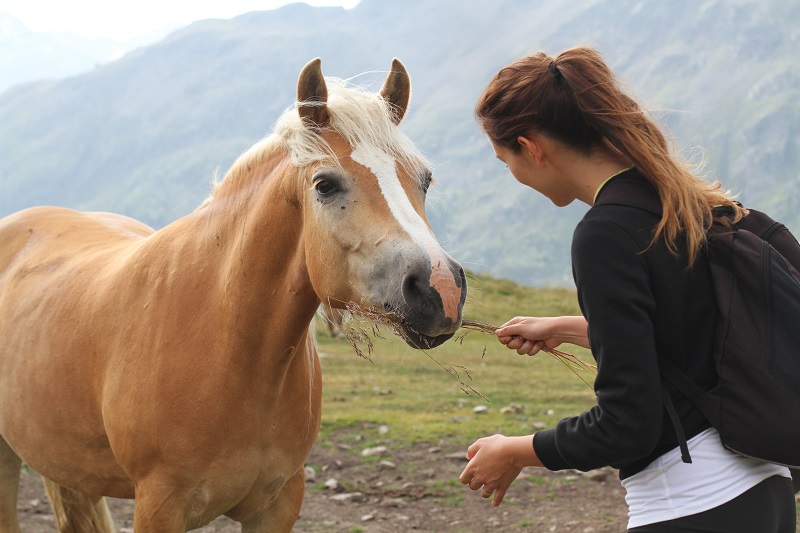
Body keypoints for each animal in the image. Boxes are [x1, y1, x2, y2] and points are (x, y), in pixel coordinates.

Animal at [0, 57, 468, 528]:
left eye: (424, 180)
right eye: (325, 185)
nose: (441, 289)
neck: (226, 341)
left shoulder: (278, 506)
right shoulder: (158, 506)